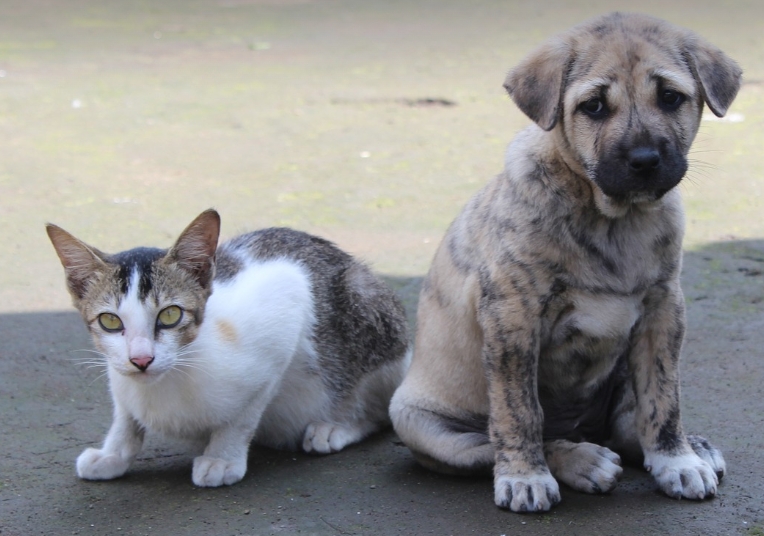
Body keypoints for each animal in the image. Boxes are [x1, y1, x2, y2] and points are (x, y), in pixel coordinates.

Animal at [44, 208, 408, 486]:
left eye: (171, 315)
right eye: (109, 321)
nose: (141, 359)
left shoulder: (285, 309)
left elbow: (244, 415)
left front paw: (222, 457)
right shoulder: (118, 374)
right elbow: (125, 415)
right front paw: (113, 454)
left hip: (368, 308)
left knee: (380, 410)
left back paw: (338, 425)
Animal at [388, 12, 740, 512]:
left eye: (671, 97)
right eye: (593, 106)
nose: (644, 160)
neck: (612, 219)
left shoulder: (663, 309)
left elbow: (663, 398)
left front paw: (677, 459)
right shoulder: (513, 317)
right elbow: (519, 411)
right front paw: (525, 477)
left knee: (627, 423)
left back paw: (691, 447)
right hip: (422, 423)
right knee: (497, 441)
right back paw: (581, 460)